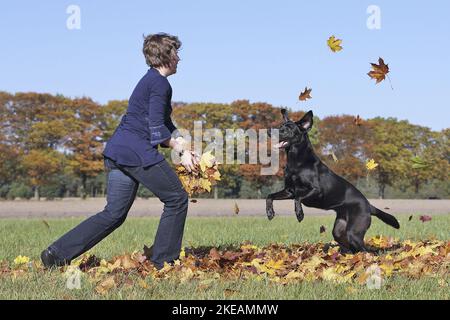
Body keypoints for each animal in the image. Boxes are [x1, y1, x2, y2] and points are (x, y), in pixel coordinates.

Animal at [266, 110, 400, 252]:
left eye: (289, 128)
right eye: (281, 125)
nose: (269, 131)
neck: (297, 162)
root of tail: (369, 206)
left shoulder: (316, 190)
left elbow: (298, 198)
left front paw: (299, 214)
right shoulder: (289, 191)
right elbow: (270, 196)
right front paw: (270, 213)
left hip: (354, 231)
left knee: (366, 250)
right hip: (339, 230)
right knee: (352, 248)